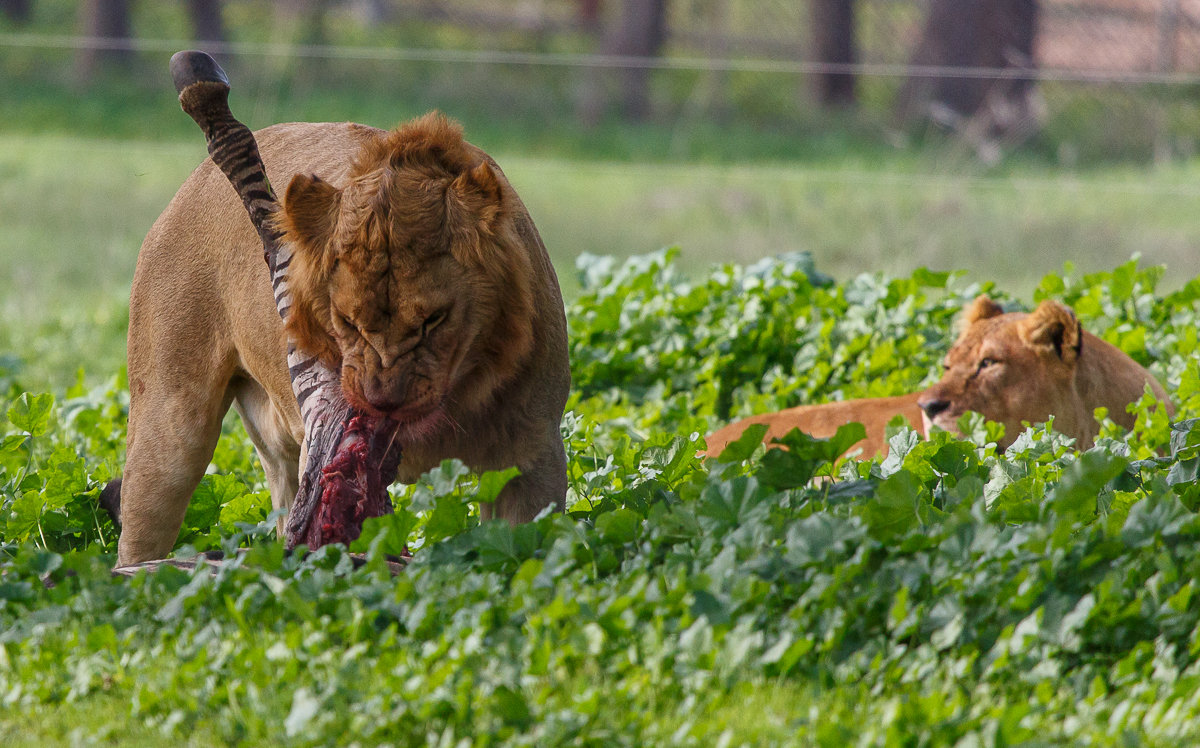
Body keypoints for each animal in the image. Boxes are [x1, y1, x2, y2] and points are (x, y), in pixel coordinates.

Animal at [110, 111, 568, 564]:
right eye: (346, 320)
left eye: (434, 320)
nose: (383, 403)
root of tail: (194, 181)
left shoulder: (533, 459)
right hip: (169, 429)